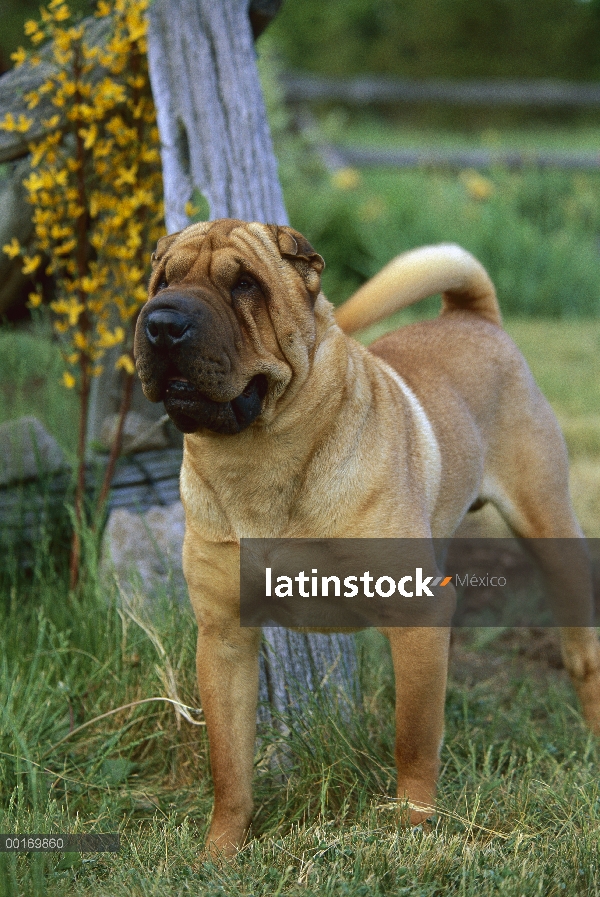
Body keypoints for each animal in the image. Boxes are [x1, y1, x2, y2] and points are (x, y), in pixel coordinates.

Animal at [135, 217, 600, 856]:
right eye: (162, 281)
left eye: (245, 285)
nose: (161, 323)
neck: (258, 460)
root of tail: (474, 317)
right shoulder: (223, 635)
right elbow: (228, 764)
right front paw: (219, 853)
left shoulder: (415, 613)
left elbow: (412, 736)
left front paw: (411, 827)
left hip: (551, 531)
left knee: (582, 655)